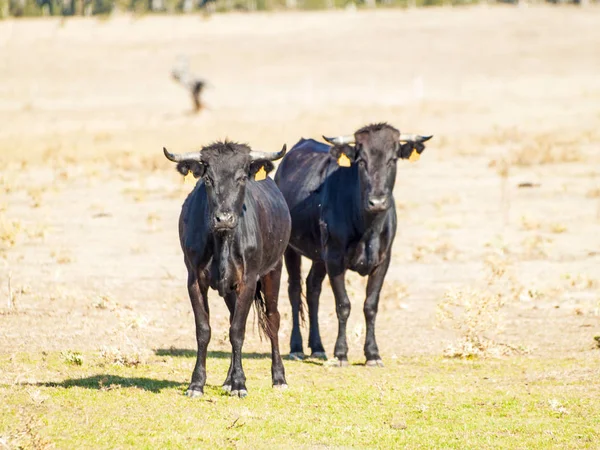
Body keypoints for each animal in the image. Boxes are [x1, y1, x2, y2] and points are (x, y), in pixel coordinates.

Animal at [164, 141, 290, 398]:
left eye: (241, 178)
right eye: (208, 179)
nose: (223, 218)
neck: (222, 241)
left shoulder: (248, 281)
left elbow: (237, 331)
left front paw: (240, 384)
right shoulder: (194, 281)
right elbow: (204, 330)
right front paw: (197, 384)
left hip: (274, 270)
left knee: (272, 318)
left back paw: (278, 377)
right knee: (235, 316)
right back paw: (227, 380)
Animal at [276, 122, 432, 366]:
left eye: (392, 159)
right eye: (361, 161)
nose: (377, 202)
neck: (368, 227)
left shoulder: (382, 260)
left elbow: (371, 305)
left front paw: (373, 354)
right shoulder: (335, 259)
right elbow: (343, 305)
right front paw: (341, 354)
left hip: (319, 255)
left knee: (313, 288)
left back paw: (317, 347)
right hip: (291, 248)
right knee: (295, 289)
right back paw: (297, 347)